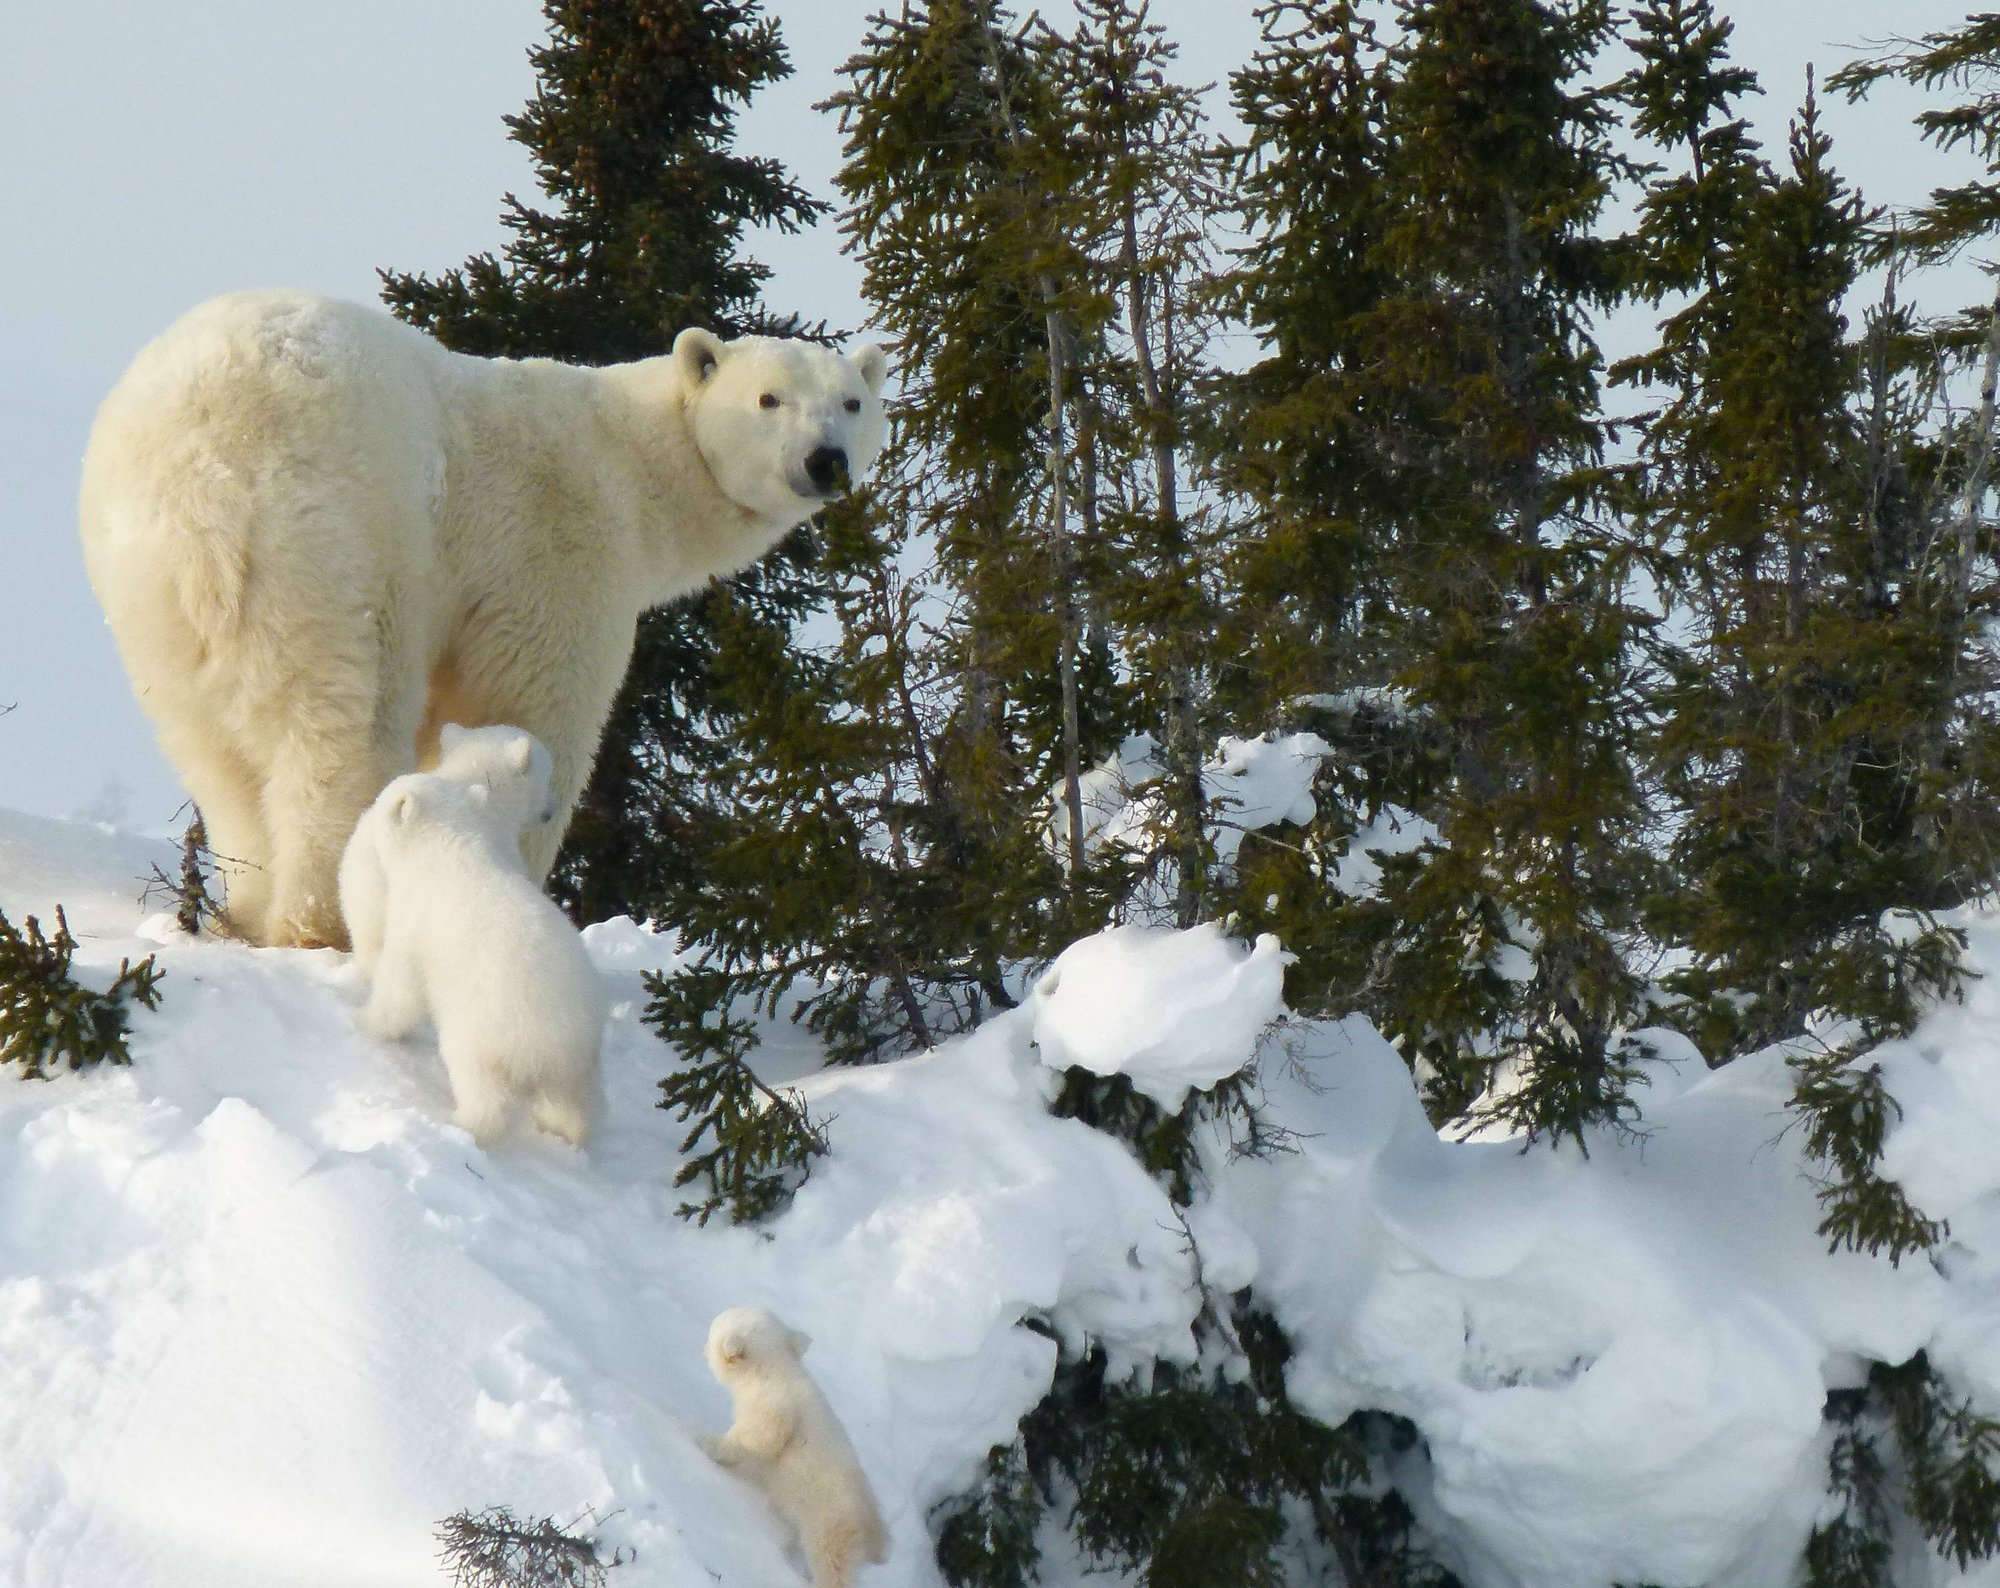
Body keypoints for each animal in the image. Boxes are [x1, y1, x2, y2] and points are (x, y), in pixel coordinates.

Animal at [79, 290, 889, 949]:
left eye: (852, 402)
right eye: (768, 399)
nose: (826, 462)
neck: (629, 463)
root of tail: (202, 475)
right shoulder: (553, 551)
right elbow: (528, 707)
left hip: (146, 591)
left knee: (213, 754)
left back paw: (243, 913)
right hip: (332, 543)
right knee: (341, 730)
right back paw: (325, 920)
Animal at [353, 771, 606, 1147]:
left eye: (385, 795)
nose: (366, 807)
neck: (447, 853)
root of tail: (556, 1042)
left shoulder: (414, 925)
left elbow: (400, 990)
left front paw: (362, 1020)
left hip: (485, 1026)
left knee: (477, 1082)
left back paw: (460, 1121)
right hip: (578, 1066)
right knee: (570, 1106)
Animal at [700, 1305, 889, 1588]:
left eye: (712, 1331)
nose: (703, 1346)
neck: (774, 1367)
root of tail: (874, 1532)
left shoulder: (773, 1404)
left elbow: (762, 1436)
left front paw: (709, 1444)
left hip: (828, 1522)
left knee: (831, 1564)